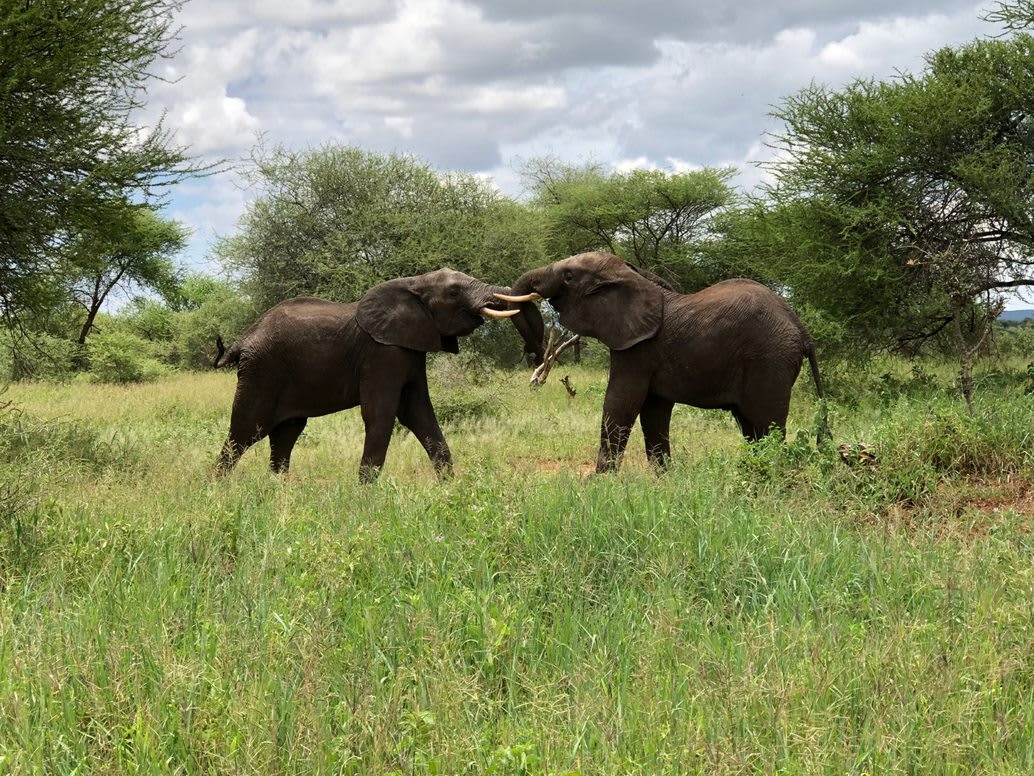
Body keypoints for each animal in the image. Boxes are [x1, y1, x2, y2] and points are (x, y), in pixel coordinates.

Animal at [214, 268, 545, 482]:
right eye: (453, 292)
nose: (532, 355)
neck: (413, 283)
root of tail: (243, 338)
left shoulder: (410, 350)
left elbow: (419, 413)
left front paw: (451, 487)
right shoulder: (382, 354)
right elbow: (382, 414)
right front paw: (364, 494)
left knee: (285, 435)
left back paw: (277, 491)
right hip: (262, 372)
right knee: (245, 431)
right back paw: (218, 490)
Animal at [496, 251, 825, 473]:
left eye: (568, 277)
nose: (534, 351)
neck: (632, 275)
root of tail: (800, 327)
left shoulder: (638, 349)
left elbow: (620, 403)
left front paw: (598, 483)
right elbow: (653, 414)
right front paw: (666, 479)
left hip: (769, 361)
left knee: (767, 426)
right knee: (751, 428)